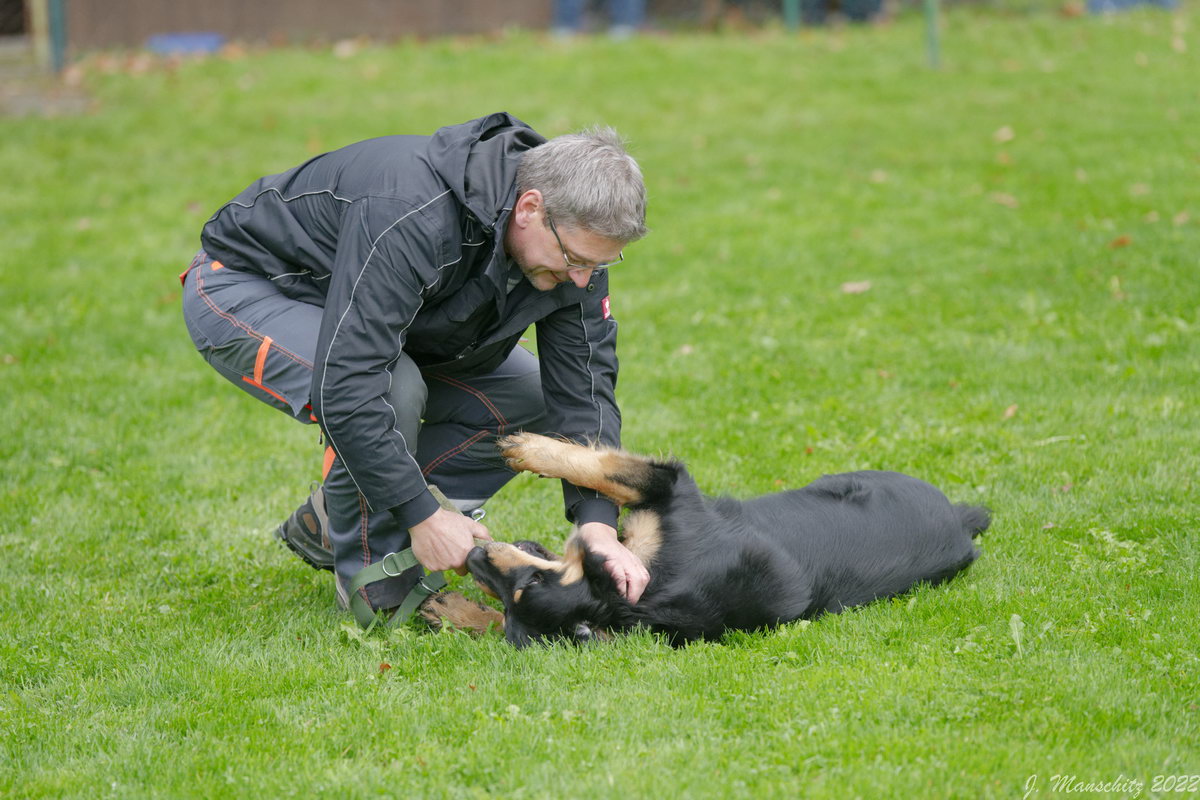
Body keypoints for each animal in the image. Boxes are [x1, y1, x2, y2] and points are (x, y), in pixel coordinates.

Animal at [420, 434, 984, 647]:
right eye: (511, 602)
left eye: (531, 584)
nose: (473, 554)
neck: (639, 597)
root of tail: (964, 523)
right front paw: (457, 611)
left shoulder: (671, 490)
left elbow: (603, 466)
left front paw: (531, 449)